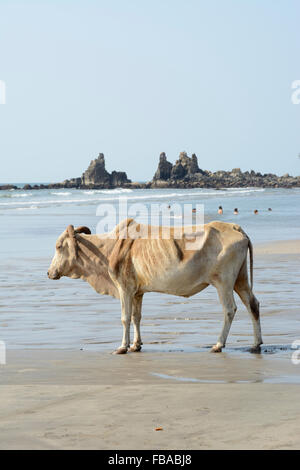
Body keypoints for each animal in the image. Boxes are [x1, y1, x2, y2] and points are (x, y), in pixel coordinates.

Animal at [47, 218, 262, 354]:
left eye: (58, 246)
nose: (49, 273)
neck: (110, 248)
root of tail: (235, 227)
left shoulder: (124, 288)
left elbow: (125, 318)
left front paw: (123, 347)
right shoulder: (137, 292)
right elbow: (136, 317)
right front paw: (136, 345)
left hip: (223, 282)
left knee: (229, 309)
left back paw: (218, 345)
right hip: (240, 279)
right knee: (253, 305)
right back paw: (256, 343)